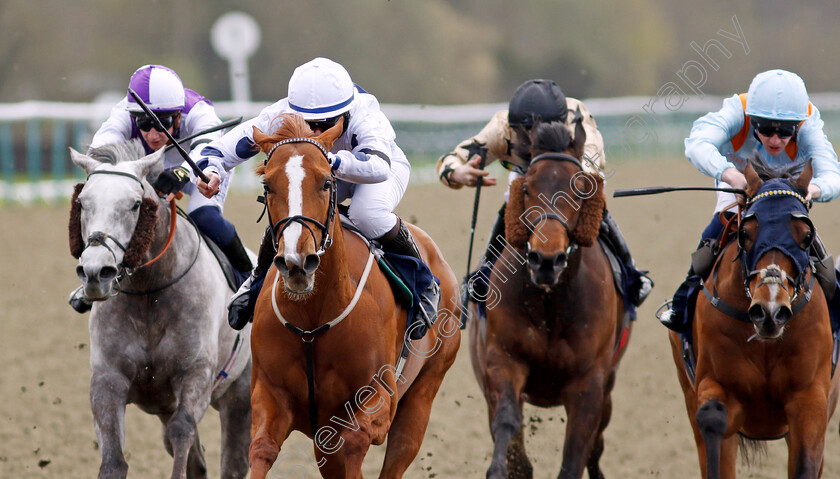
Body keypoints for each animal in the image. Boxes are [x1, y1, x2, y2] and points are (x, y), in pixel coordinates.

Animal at [68, 140, 253, 479]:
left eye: (134, 205)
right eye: (83, 203)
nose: (95, 272)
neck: (149, 296)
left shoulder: (195, 376)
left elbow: (183, 431)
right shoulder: (107, 379)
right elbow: (113, 459)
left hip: (240, 394)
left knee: (233, 463)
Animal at [246, 113, 462, 479]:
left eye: (326, 182)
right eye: (267, 187)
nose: (296, 263)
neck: (312, 318)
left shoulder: (379, 399)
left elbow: (357, 439)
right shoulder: (271, 395)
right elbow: (262, 448)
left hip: (421, 397)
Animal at [466, 117, 632, 479]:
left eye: (581, 188)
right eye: (527, 187)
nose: (546, 260)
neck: (549, 305)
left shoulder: (591, 385)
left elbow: (575, 458)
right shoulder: (502, 360)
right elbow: (508, 425)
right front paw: (498, 468)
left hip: (609, 391)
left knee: (595, 451)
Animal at [668, 159, 840, 478]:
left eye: (806, 236)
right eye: (746, 233)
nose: (770, 310)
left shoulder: (811, 400)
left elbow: (805, 464)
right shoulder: (715, 387)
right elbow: (712, 423)